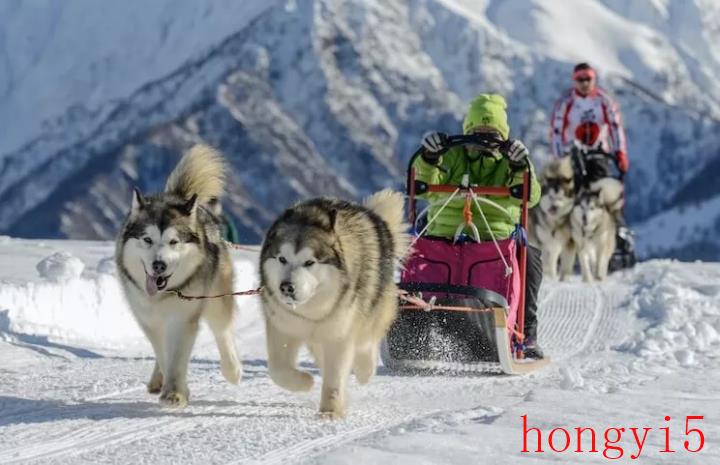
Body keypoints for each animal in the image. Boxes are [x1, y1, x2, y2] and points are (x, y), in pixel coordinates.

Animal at [115, 144, 242, 406]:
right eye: (147, 239)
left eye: (174, 242)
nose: (159, 265)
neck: (161, 296)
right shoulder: (149, 319)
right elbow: (164, 354)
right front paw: (173, 387)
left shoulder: (183, 318)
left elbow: (176, 357)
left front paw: (175, 392)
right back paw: (157, 381)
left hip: (216, 298)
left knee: (222, 330)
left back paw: (232, 370)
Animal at [258, 188, 408, 416]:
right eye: (282, 259)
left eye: (309, 262)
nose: (286, 287)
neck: (311, 311)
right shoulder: (283, 327)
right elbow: (277, 370)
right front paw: (306, 382)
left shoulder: (340, 335)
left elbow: (335, 378)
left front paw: (330, 412)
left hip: (370, 310)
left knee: (366, 342)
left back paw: (365, 369)